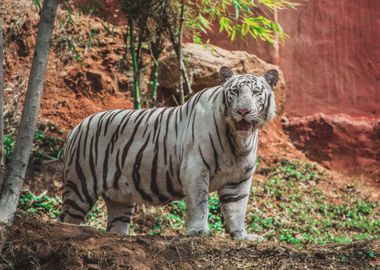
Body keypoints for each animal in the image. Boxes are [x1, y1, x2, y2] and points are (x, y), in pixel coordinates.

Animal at [60, 66, 280, 240]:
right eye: (234, 92)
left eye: (256, 92)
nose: (243, 111)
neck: (238, 140)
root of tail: (77, 126)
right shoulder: (195, 168)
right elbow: (199, 202)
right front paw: (198, 231)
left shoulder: (239, 178)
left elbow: (237, 209)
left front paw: (241, 236)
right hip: (80, 185)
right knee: (65, 218)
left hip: (120, 197)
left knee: (116, 225)